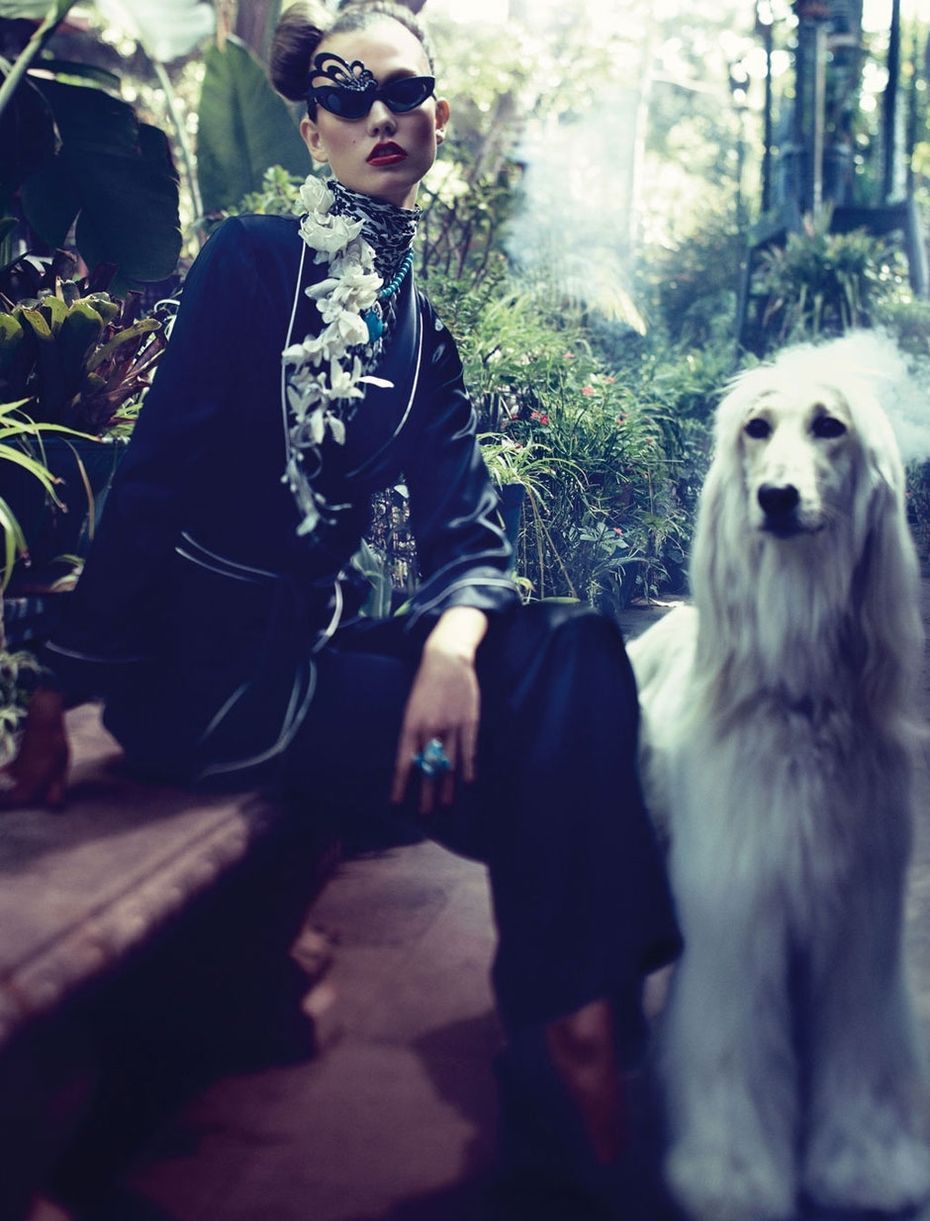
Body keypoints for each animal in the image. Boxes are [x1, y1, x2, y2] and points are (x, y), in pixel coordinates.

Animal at [628, 336, 930, 1221]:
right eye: (756, 428)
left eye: (830, 425)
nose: (776, 498)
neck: (797, 703)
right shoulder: (738, 918)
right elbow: (731, 1047)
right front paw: (732, 1174)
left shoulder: (859, 921)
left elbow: (857, 1049)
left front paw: (866, 1163)